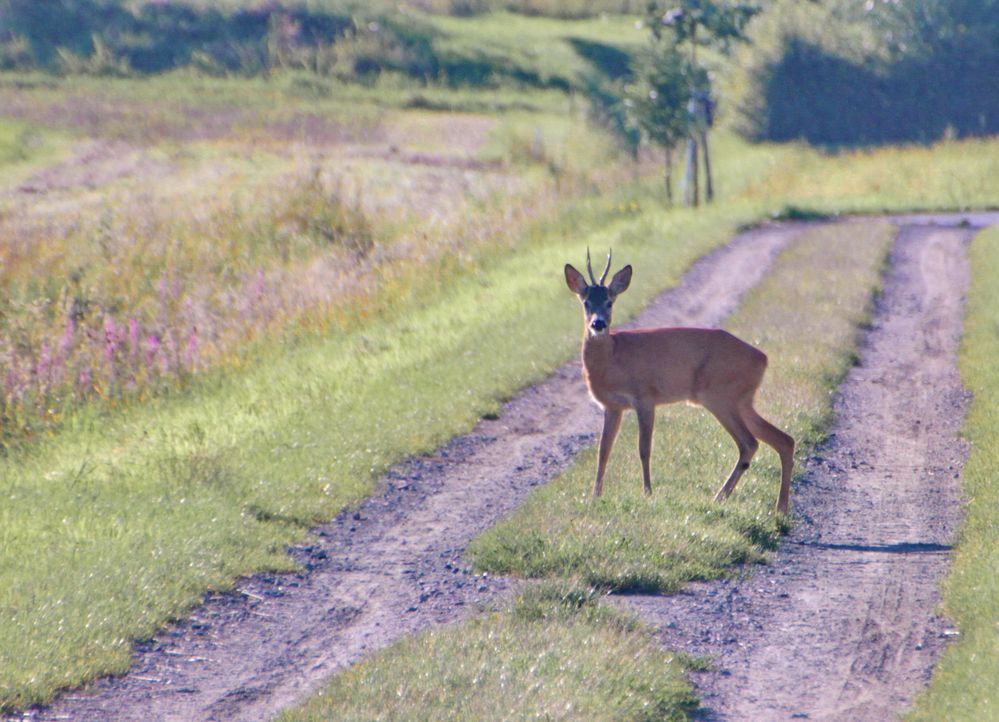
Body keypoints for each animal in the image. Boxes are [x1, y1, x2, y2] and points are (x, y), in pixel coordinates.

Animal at [568, 248, 792, 512]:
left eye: (609, 302)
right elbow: (604, 450)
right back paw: (780, 507)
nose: (598, 323)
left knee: (749, 443)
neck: (613, 357)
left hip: (719, 394)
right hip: (743, 400)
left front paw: (647, 492)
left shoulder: (645, 397)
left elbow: (644, 448)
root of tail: (762, 358)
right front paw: (595, 496)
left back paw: (720, 497)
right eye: (586, 303)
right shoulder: (613, 406)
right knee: (783, 440)